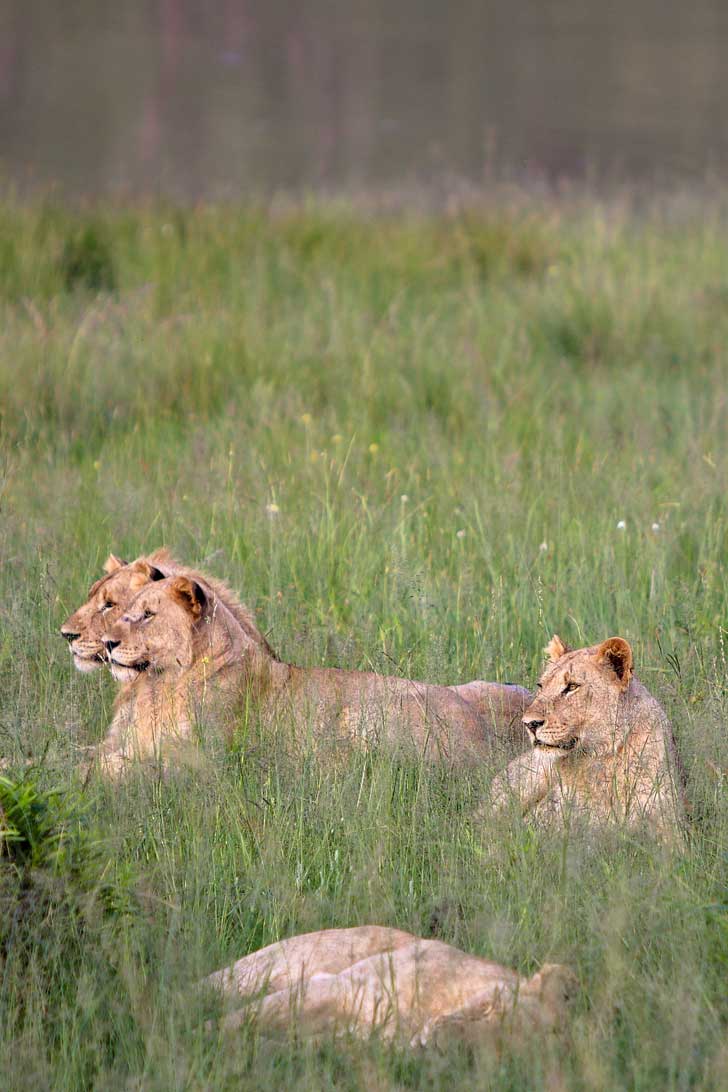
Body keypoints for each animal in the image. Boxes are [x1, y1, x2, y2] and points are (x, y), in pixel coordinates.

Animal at [85, 567, 526, 781]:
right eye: (125, 611)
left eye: (147, 615)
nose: (108, 642)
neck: (159, 685)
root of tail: (482, 736)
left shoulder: (205, 759)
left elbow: (117, 768)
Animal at [201, 926, 576, 1043]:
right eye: (492, 1011)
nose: (439, 1045)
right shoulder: (335, 987)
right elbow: (232, 1022)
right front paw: (202, 1040)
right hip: (260, 969)